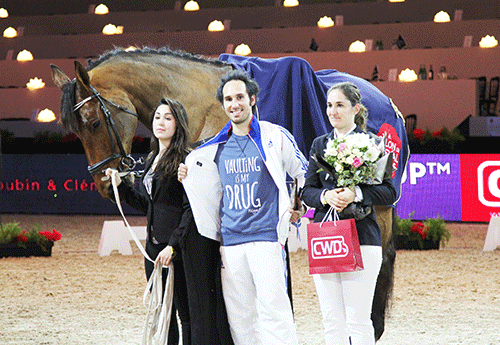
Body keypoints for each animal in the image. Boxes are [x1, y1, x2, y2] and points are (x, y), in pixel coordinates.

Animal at [51, 47, 402, 340]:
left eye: (94, 123)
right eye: (75, 131)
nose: (103, 184)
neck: (205, 105)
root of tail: (387, 101)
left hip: (380, 207)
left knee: (380, 260)